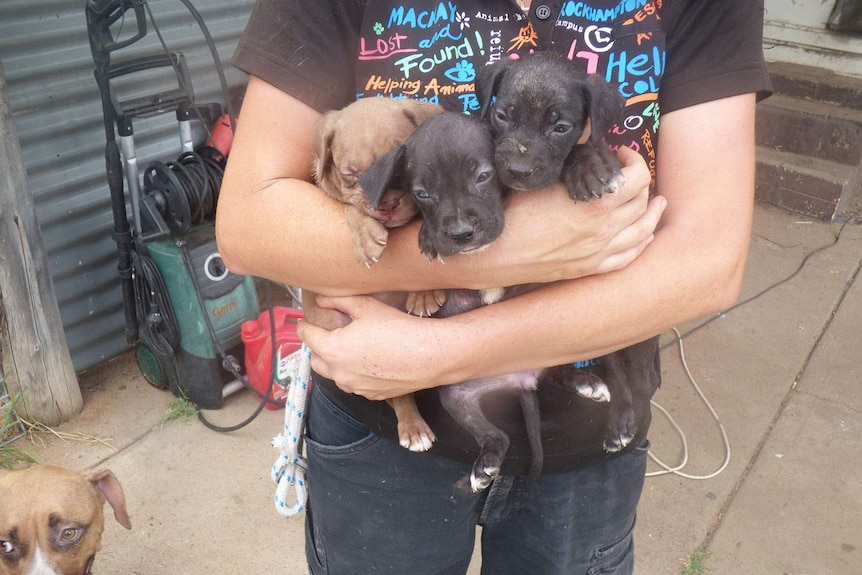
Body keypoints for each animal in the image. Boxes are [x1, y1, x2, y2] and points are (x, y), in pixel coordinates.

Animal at [308, 97, 446, 452]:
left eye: (403, 167)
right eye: (351, 175)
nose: (386, 204)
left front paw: (424, 293)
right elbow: (350, 207)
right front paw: (366, 235)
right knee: (397, 394)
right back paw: (413, 428)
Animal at [362, 111, 612, 490]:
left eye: (483, 176)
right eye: (422, 194)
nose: (461, 233)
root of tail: (520, 380)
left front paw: (586, 165)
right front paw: (428, 237)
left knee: (558, 370)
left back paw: (588, 383)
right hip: (457, 398)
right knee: (500, 437)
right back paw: (486, 467)